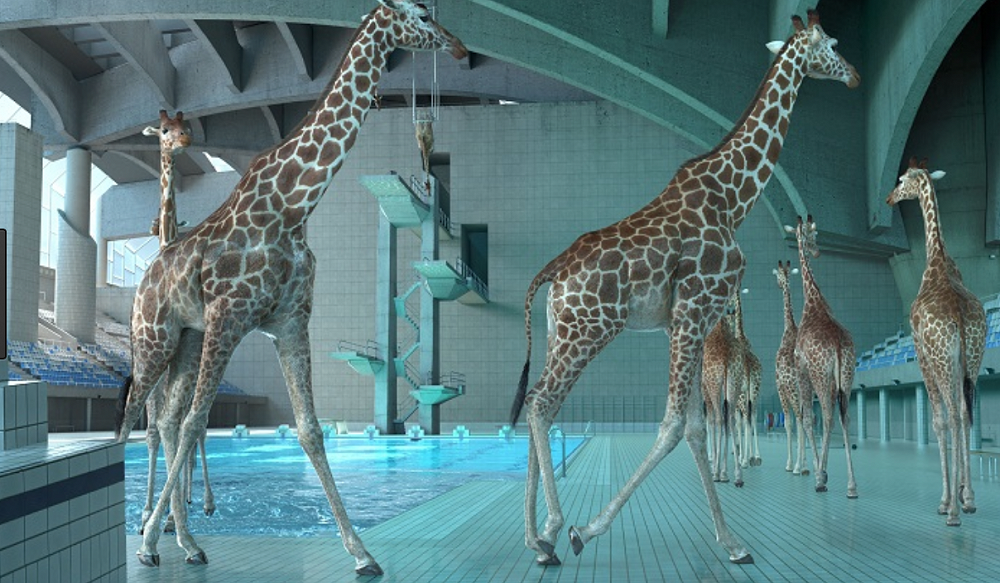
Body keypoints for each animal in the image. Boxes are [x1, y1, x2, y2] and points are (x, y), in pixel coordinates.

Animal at [114, 1, 466, 574]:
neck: (294, 206)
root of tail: (144, 278)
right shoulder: (230, 316)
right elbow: (197, 423)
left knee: (163, 420)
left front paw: (362, 553)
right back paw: (149, 533)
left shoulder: (290, 321)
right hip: (153, 339)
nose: (457, 47)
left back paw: (185, 540)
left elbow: (310, 429)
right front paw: (147, 539)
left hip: (186, 341)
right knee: (135, 421)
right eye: (419, 14)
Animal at [786, 215, 858, 497]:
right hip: (846, 375)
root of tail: (837, 343)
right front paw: (822, 469)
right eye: (810, 235)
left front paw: (820, 471)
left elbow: (808, 418)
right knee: (843, 416)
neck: (813, 302)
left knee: (826, 415)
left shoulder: (802, 369)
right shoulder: (830, 378)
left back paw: (820, 479)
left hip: (819, 374)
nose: (816, 251)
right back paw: (851, 486)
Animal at [886, 158, 985, 526]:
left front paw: (946, 500)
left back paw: (953, 511)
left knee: (952, 417)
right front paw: (964, 493)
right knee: (966, 413)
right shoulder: (959, 361)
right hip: (972, 356)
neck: (938, 260)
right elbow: (961, 414)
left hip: (940, 359)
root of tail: (957, 313)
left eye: (902, 180)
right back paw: (968, 501)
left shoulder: (921, 353)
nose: (889, 197)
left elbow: (939, 421)